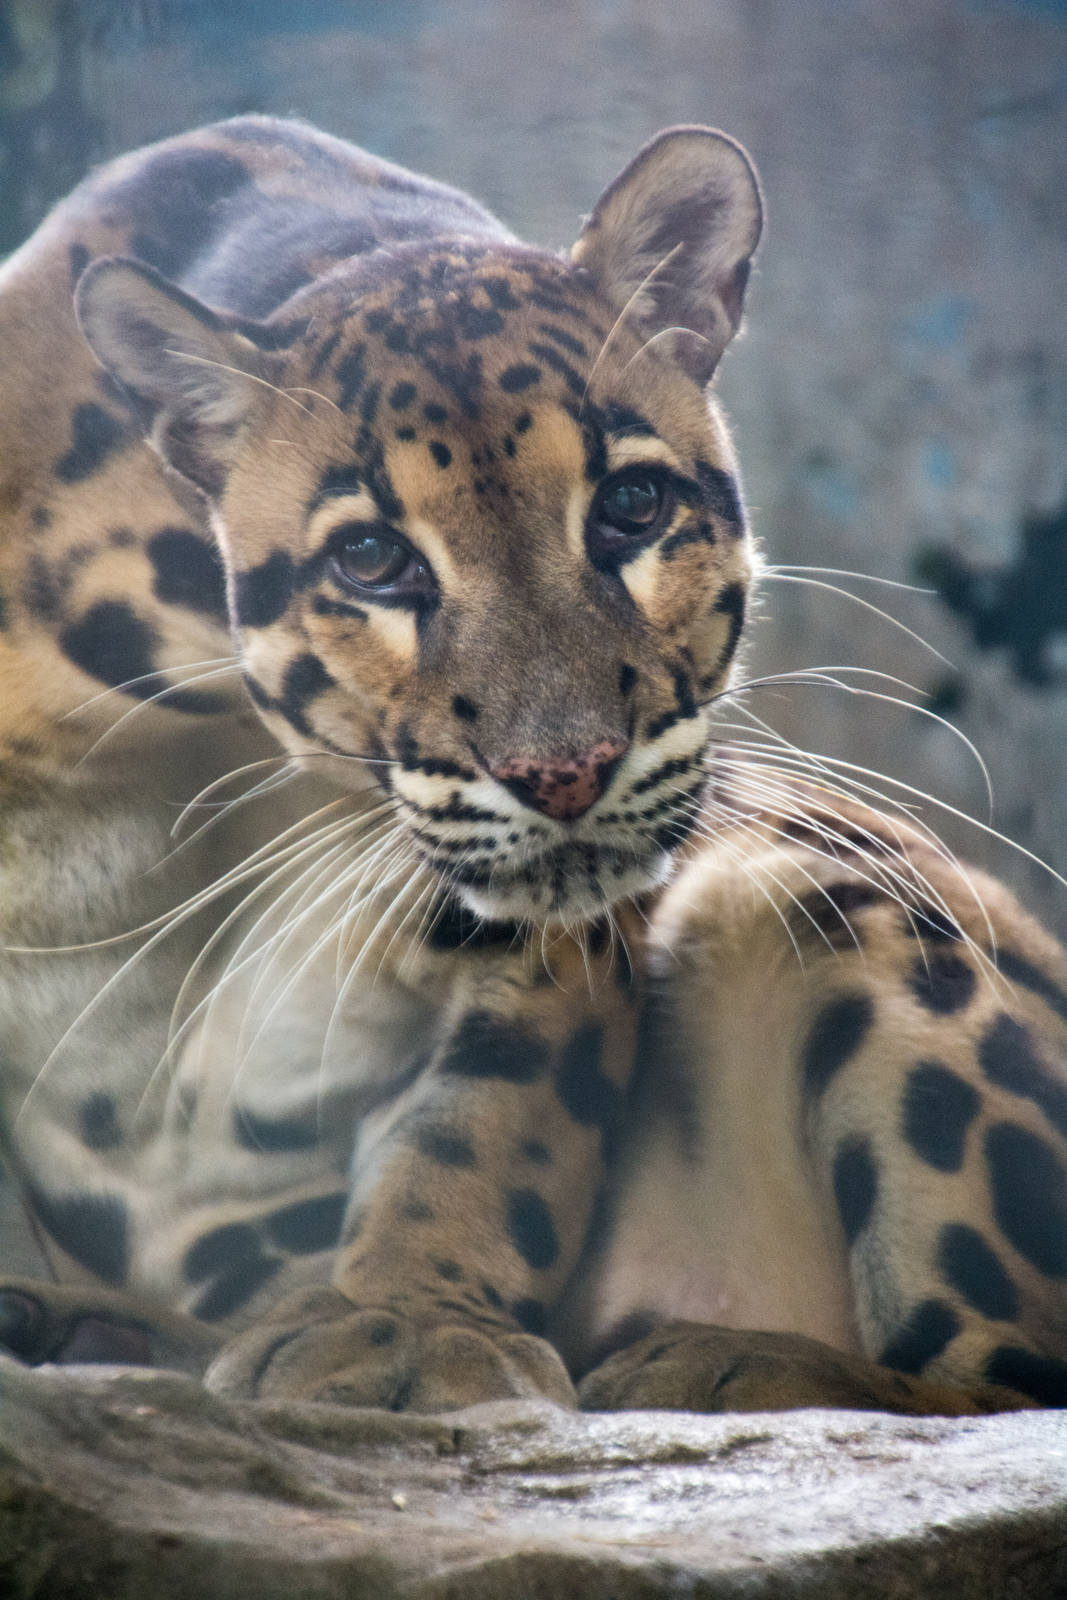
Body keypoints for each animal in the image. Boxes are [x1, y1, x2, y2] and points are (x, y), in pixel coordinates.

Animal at [0, 114, 1065, 1419]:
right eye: (369, 557)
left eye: (632, 505)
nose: (566, 770)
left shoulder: (529, 922)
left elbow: (487, 1120)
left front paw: (403, 1325)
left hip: (832, 882)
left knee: (1007, 1378)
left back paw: (719, 1362)